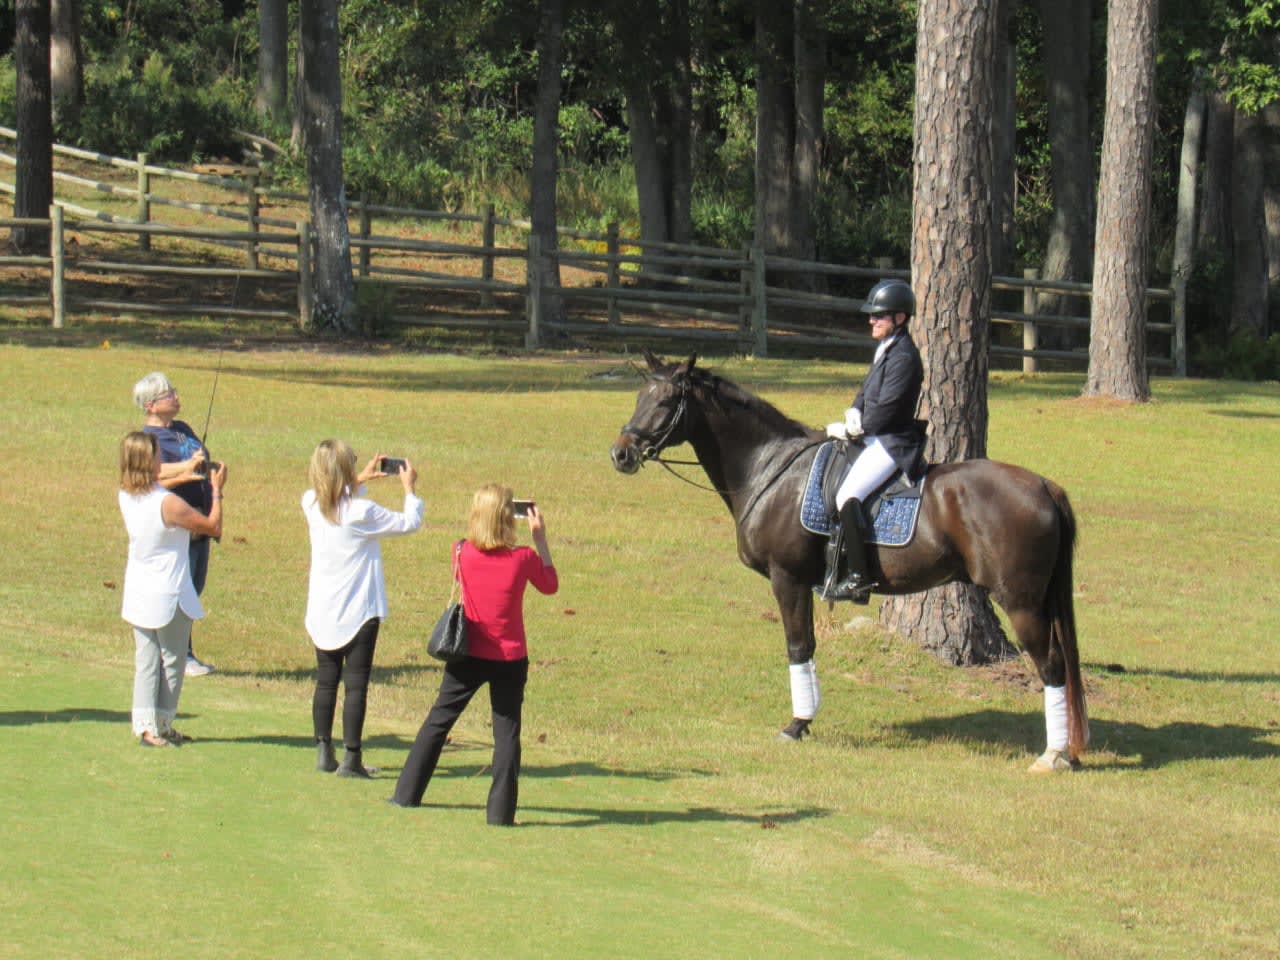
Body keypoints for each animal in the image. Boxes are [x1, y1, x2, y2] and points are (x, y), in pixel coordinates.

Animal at [609, 355, 1090, 773]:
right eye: (639, 397)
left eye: (666, 402)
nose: (621, 454)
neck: (770, 468)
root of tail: (1043, 485)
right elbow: (806, 647)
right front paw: (805, 720)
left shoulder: (787, 579)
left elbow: (798, 647)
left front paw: (797, 725)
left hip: (1021, 602)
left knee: (1052, 666)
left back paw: (1052, 755)